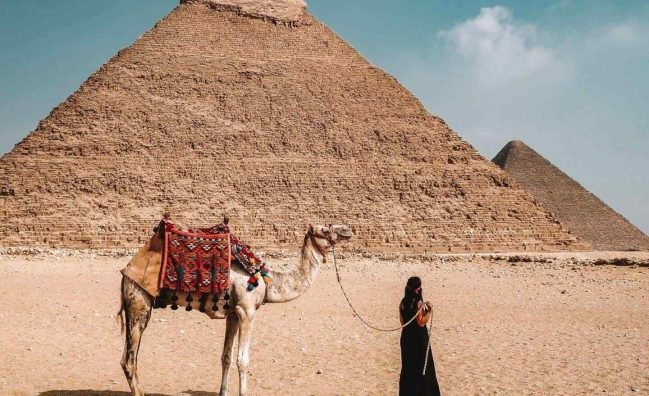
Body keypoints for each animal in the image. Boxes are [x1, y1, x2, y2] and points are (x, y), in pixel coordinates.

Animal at [116, 224, 350, 394]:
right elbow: (243, 360)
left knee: (130, 358)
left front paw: (223, 392)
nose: (347, 230)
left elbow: (226, 357)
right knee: (129, 360)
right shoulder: (247, 311)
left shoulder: (232, 314)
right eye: (325, 230)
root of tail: (127, 269)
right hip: (139, 301)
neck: (268, 282)